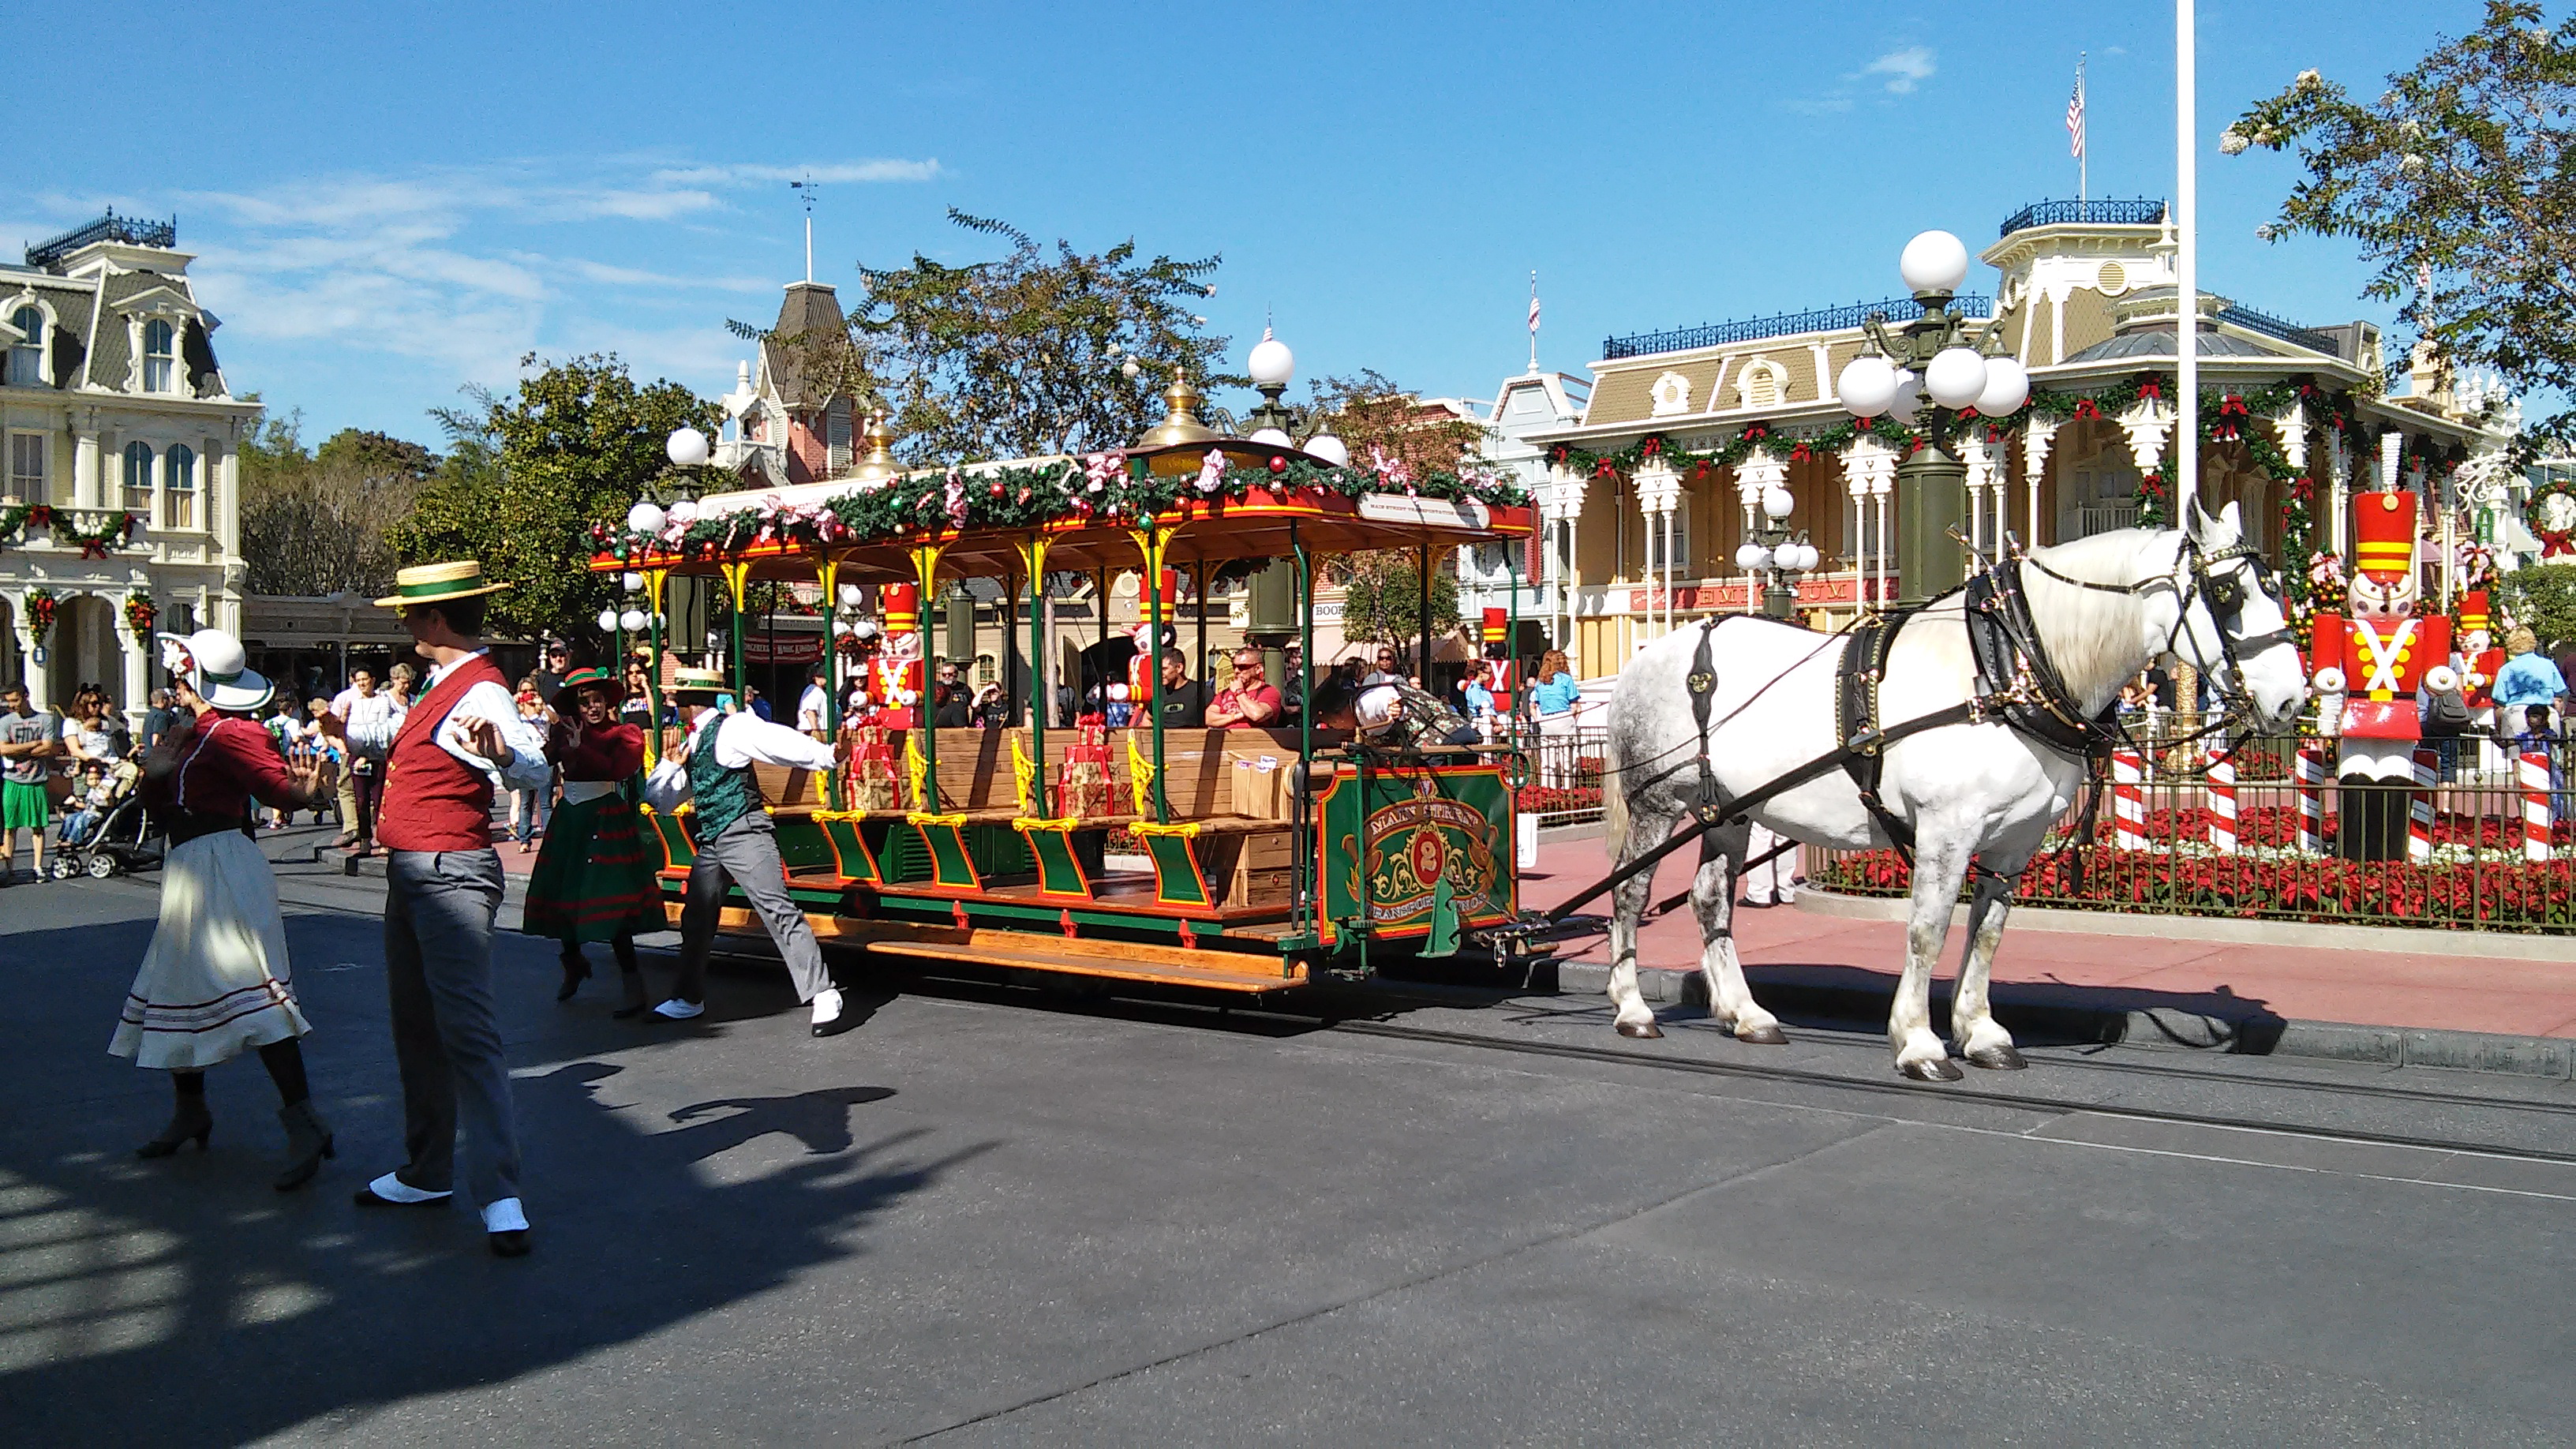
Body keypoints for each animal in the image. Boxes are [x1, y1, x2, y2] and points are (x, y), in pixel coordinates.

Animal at [1597, 504, 2306, 1080]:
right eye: (2228, 592)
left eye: (2275, 587)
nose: (2293, 699)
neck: (2002, 675)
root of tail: (1648, 653)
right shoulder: (1946, 831)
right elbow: (1928, 931)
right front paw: (1918, 1042)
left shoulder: (2015, 840)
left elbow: (1987, 934)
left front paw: (1981, 1032)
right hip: (1657, 801)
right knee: (1631, 893)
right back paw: (1632, 1008)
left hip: (1728, 808)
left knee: (1710, 898)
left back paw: (1746, 1014)